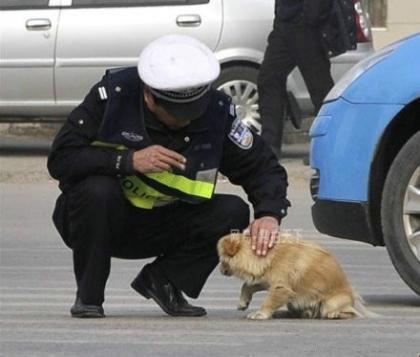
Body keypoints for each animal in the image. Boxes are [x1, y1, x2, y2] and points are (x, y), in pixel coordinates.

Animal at [217, 232, 374, 318]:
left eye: (222, 261)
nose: (220, 271)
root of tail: (353, 297)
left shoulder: (280, 287)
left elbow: (269, 301)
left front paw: (261, 313)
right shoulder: (267, 281)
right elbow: (247, 285)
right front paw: (243, 302)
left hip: (331, 303)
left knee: (350, 313)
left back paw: (335, 314)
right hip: (293, 303)